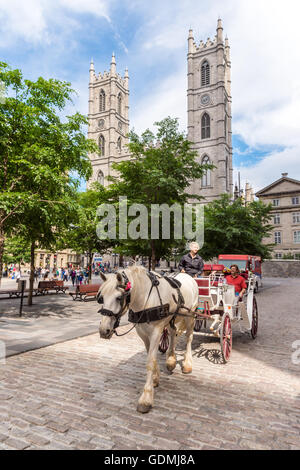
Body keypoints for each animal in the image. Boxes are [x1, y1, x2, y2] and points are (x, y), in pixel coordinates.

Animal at [97, 266, 198, 414]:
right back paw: (171, 360)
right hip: (172, 318)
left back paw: (187, 364)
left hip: (190, 316)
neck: (146, 298)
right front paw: (155, 379)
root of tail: (188, 276)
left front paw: (146, 398)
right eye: (102, 297)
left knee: (189, 338)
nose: (104, 330)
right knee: (173, 333)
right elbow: (151, 356)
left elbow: (150, 361)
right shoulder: (142, 332)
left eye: (119, 297)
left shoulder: (156, 331)